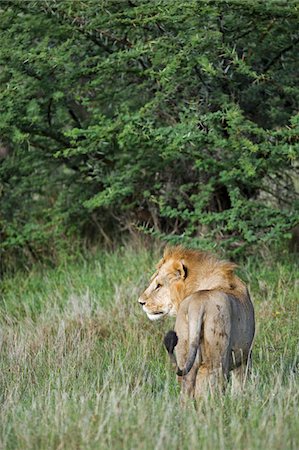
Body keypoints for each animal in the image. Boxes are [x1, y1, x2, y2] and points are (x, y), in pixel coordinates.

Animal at [138, 246, 255, 398]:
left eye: (158, 285)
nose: (140, 302)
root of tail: (197, 304)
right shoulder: (245, 356)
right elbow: (240, 386)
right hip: (216, 360)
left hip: (184, 351)